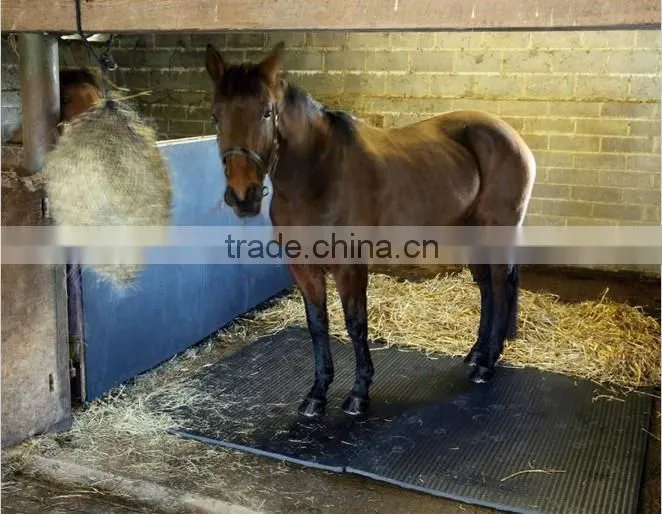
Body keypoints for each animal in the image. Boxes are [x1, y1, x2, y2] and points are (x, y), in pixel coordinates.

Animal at [204, 42, 536, 418]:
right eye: (216, 116)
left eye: (266, 113)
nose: (242, 196)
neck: (317, 175)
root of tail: (510, 136)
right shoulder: (303, 268)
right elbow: (317, 325)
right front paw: (316, 395)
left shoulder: (350, 267)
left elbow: (355, 324)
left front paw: (359, 394)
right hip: (470, 232)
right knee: (486, 288)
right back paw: (475, 355)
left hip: (498, 228)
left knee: (500, 284)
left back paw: (486, 365)